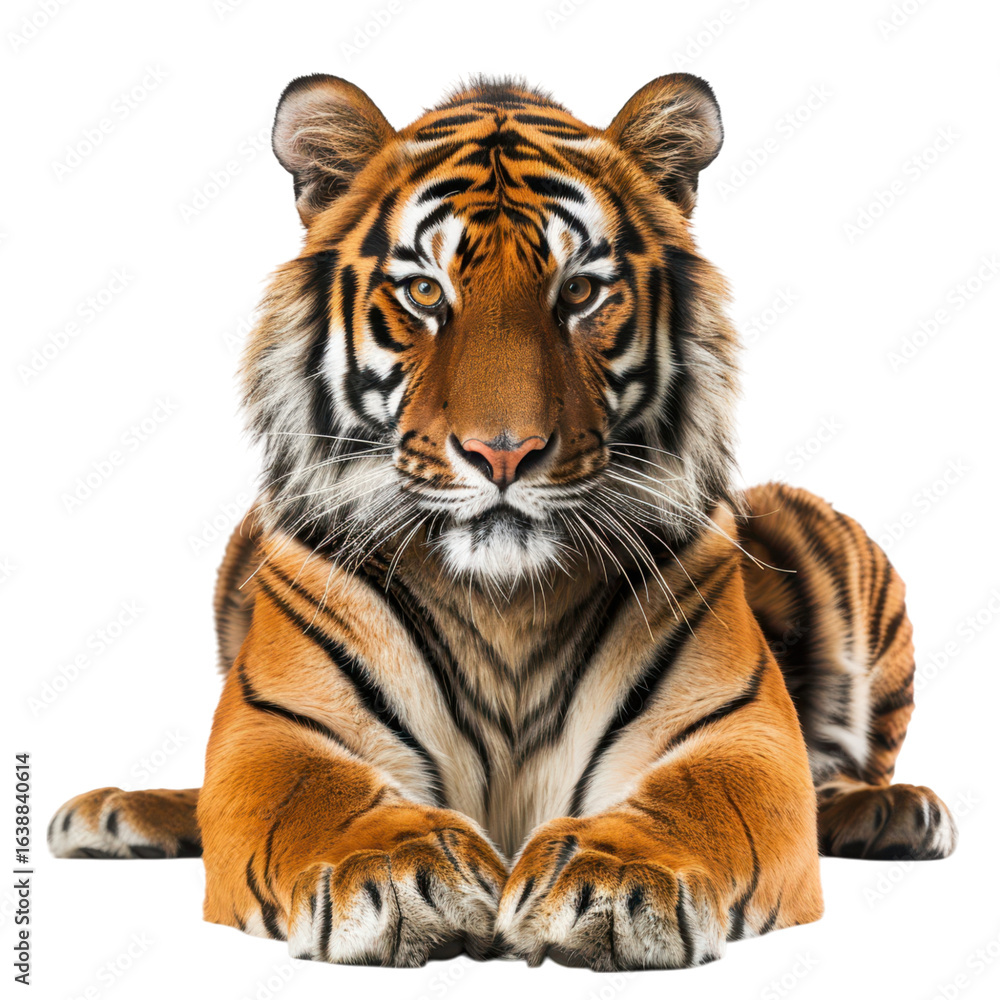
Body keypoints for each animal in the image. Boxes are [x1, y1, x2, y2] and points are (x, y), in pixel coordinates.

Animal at [48, 73, 957, 970]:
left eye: (580, 292)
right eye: (424, 291)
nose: (504, 452)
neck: (506, 605)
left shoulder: (738, 731)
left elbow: (709, 797)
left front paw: (615, 880)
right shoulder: (277, 730)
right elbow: (315, 793)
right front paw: (398, 869)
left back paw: (897, 813)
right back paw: (112, 812)